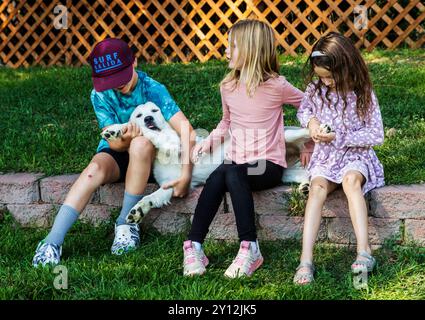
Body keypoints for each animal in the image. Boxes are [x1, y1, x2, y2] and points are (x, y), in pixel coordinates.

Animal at [101, 101, 310, 224]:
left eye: (155, 110)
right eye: (139, 115)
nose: (148, 118)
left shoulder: (172, 142)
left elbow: (148, 132)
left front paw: (117, 129)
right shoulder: (170, 185)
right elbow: (150, 197)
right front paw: (138, 211)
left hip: (288, 136)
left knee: (307, 135)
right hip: (284, 172)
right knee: (305, 173)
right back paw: (306, 187)